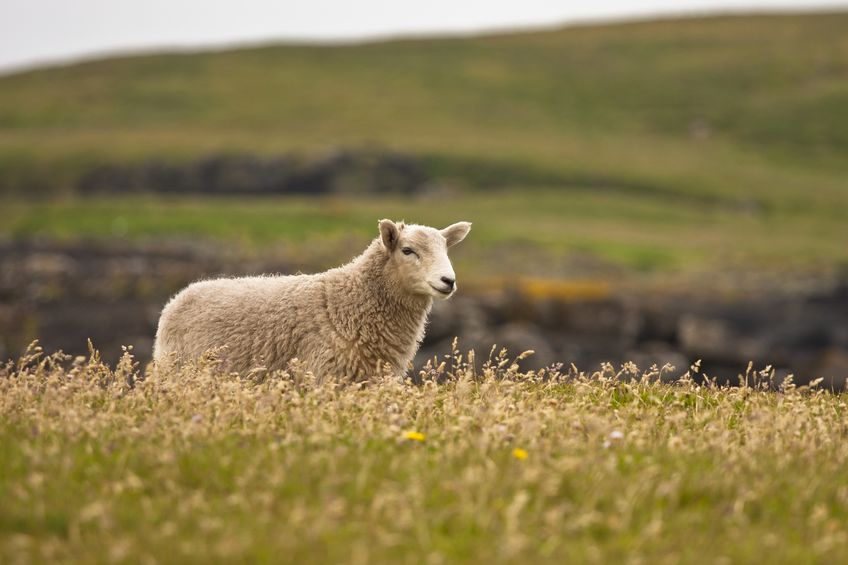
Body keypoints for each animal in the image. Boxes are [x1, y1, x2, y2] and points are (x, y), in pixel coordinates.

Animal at [152, 218, 470, 382]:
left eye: (446, 249)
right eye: (407, 250)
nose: (448, 281)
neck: (349, 302)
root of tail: (179, 297)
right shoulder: (324, 376)